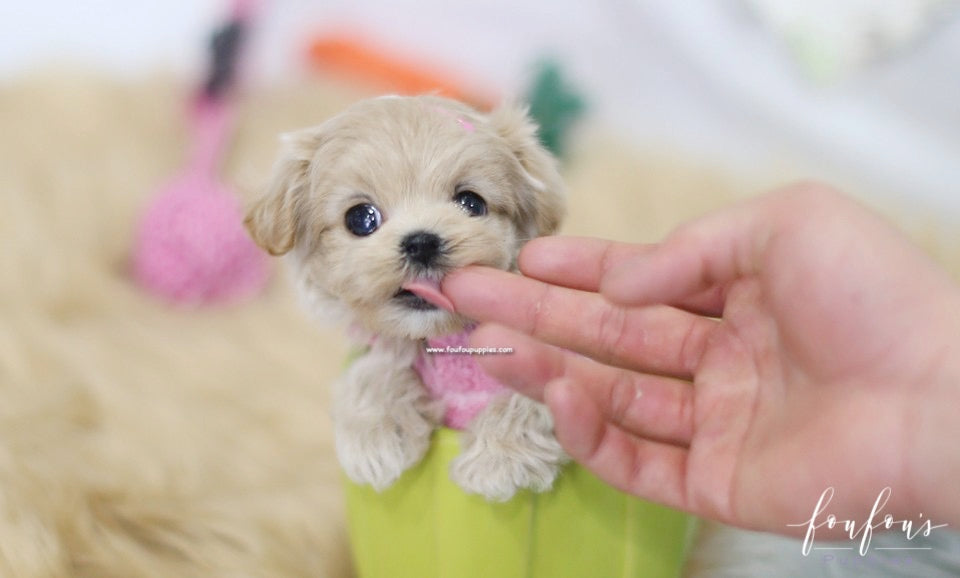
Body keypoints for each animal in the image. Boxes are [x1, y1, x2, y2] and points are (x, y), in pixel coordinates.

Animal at [248, 94, 568, 500]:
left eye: (471, 203)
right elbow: (374, 370)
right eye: (361, 218)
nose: (421, 242)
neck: (450, 345)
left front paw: (500, 459)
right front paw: (378, 438)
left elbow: (537, 394)